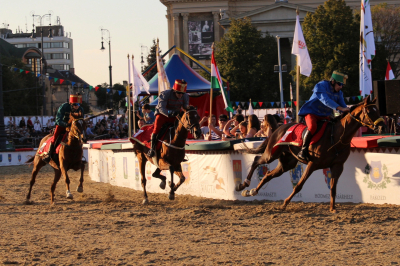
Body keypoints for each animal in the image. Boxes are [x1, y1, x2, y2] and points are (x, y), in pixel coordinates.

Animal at [238, 96, 384, 213]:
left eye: (377, 110)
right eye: (370, 111)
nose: (381, 125)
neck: (336, 137)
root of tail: (278, 129)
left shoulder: (337, 166)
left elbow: (333, 188)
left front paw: (333, 208)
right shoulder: (312, 164)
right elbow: (298, 185)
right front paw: (285, 203)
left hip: (287, 164)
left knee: (268, 175)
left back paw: (252, 191)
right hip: (271, 154)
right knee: (257, 160)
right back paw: (244, 184)